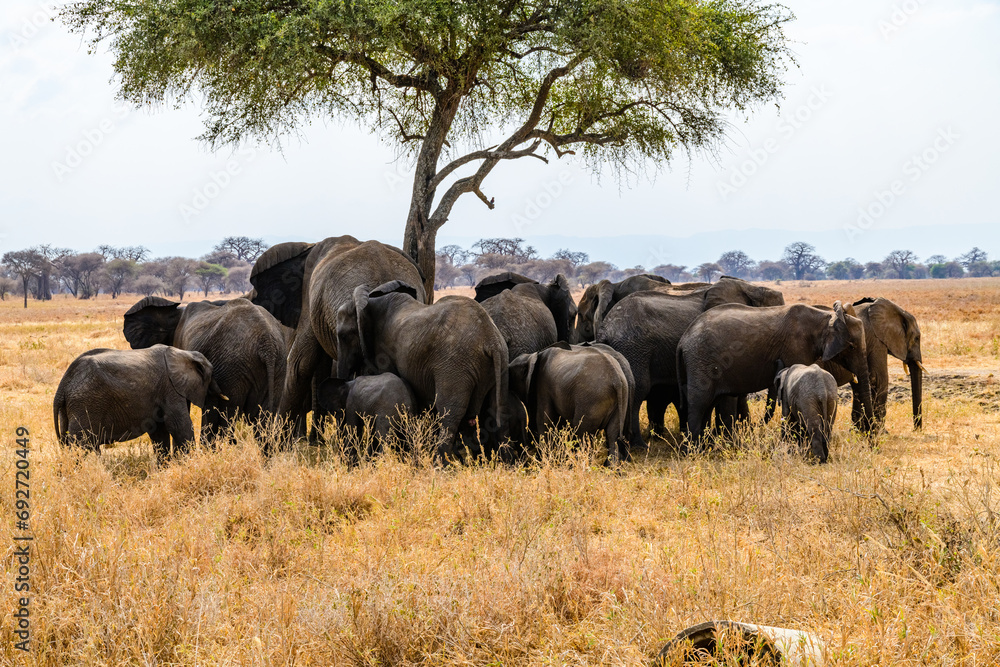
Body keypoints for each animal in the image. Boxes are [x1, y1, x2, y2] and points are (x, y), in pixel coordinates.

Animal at [53, 345, 225, 460]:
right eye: (210, 377)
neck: (183, 353)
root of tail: (62, 386)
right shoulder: (169, 387)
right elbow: (178, 425)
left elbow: (159, 430)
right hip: (85, 404)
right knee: (82, 446)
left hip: (70, 409)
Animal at [335, 281, 508, 460]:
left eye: (343, 336)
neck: (370, 302)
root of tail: (491, 339)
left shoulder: (384, 353)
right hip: (499, 363)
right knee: (497, 409)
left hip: (456, 365)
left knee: (449, 412)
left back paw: (439, 462)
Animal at [596, 278, 785, 450]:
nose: (757, 425)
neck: (752, 288)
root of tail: (606, 328)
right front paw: (730, 443)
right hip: (635, 349)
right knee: (638, 390)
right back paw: (639, 446)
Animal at [677, 302, 874, 445]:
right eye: (851, 346)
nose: (870, 442)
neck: (825, 317)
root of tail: (683, 340)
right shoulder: (796, 347)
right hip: (700, 360)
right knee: (699, 404)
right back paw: (694, 451)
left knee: (707, 405)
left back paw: (704, 448)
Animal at [820, 297, 924, 431]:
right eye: (916, 338)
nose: (916, 430)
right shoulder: (876, 340)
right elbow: (878, 378)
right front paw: (880, 431)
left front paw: (860, 429)